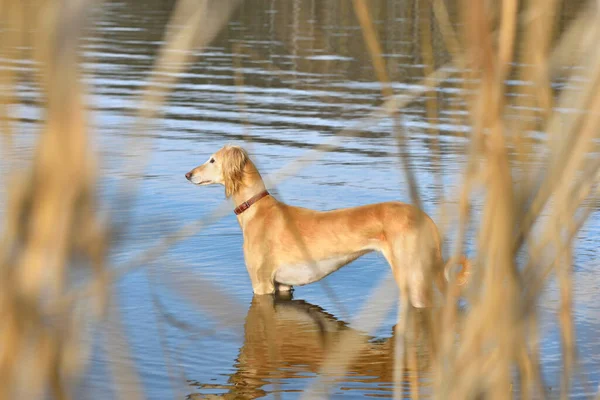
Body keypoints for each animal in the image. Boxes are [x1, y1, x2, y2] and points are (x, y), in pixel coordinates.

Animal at [184, 145, 468, 308]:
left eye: (212, 160)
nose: (188, 174)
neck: (257, 209)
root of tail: (427, 218)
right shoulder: (283, 286)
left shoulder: (261, 285)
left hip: (412, 278)